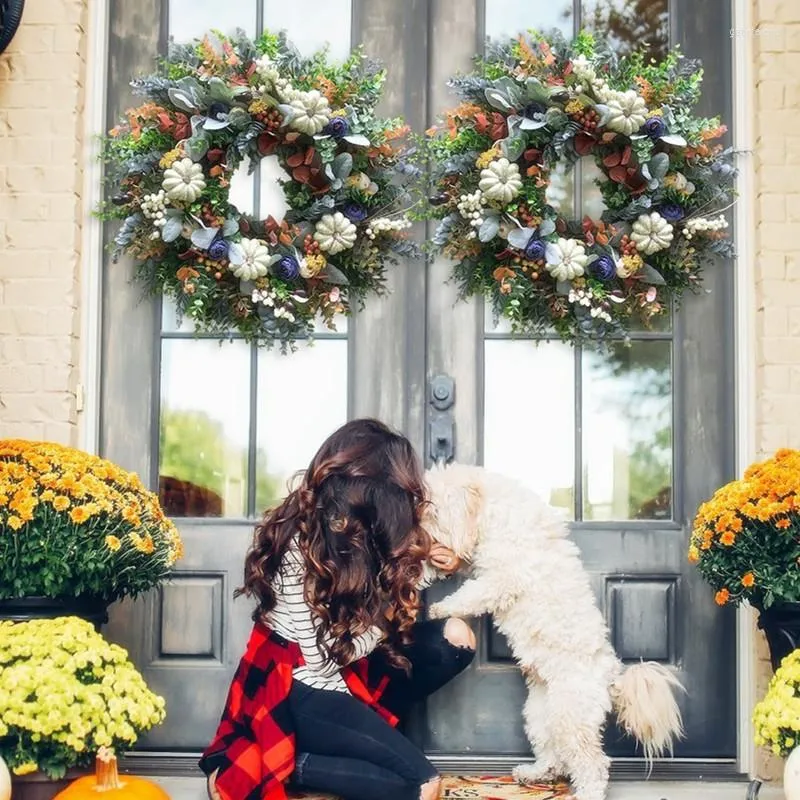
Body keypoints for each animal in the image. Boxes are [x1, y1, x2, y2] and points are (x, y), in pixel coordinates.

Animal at [422, 462, 684, 800]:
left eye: (431, 509)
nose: (416, 533)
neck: (496, 514)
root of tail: (610, 675)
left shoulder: (501, 579)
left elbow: (470, 595)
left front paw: (440, 608)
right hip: (539, 716)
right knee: (553, 755)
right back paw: (535, 773)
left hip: (571, 717)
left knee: (592, 763)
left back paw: (586, 793)